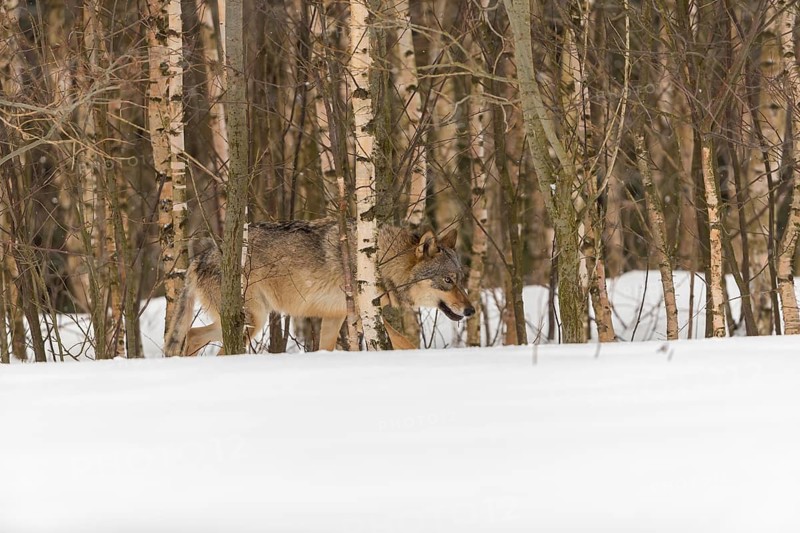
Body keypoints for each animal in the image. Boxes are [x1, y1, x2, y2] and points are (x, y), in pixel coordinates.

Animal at [164, 218, 475, 355]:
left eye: (460, 278)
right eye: (448, 280)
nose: (471, 310)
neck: (380, 262)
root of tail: (201, 256)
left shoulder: (335, 317)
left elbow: (325, 348)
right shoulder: (364, 314)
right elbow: (406, 343)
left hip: (247, 321)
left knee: (191, 335)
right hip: (253, 321)